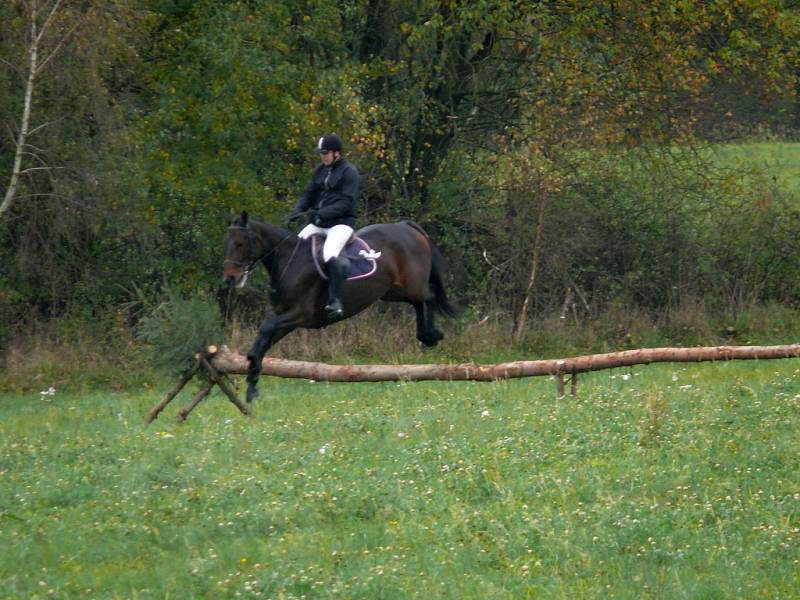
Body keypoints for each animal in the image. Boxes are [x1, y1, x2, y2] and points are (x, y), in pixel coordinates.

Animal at [220, 212, 456, 404]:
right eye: (227, 243)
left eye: (240, 243)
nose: (230, 278)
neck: (290, 262)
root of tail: (405, 226)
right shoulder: (286, 320)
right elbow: (262, 343)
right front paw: (252, 387)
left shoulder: (299, 315)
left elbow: (266, 329)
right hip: (393, 291)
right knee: (420, 302)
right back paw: (428, 335)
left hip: (412, 285)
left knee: (429, 296)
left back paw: (432, 335)